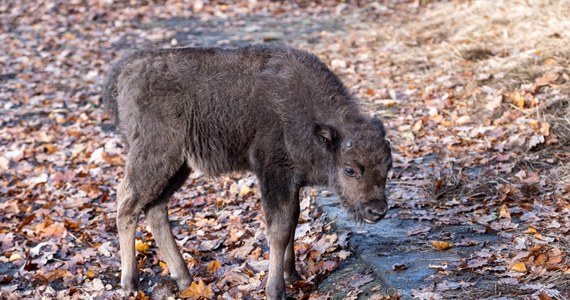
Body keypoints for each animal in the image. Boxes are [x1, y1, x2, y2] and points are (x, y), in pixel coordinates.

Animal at [102, 44, 392, 298]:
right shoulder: (273, 175)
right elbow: (279, 229)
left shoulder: (291, 183)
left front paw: (293, 275)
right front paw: (276, 290)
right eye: (350, 169)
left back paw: (184, 278)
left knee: (155, 208)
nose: (376, 210)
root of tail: (123, 72)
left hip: (178, 167)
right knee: (127, 202)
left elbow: (293, 222)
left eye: (388, 166)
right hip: (156, 157)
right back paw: (130, 283)